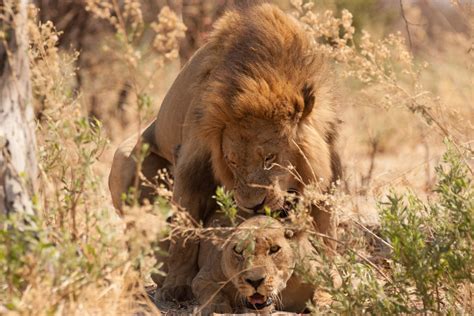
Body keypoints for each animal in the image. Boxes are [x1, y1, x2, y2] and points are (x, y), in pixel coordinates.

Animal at [109, 2, 340, 300]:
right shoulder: (191, 162)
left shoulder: (328, 165)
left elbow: (325, 228)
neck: (262, 75)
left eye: (270, 158)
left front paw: (329, 276)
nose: (253, 205)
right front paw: (177, 286)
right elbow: (184, 233)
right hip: (125, 161)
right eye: (231, 162)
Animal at [193, 215, 340, 314]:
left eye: (274, 249)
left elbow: (327, 286)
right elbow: (212, 291)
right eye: (238, 251)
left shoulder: (326, 269)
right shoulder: (203, 277)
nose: (255, 281)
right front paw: (218, 309)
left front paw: (327, 305)